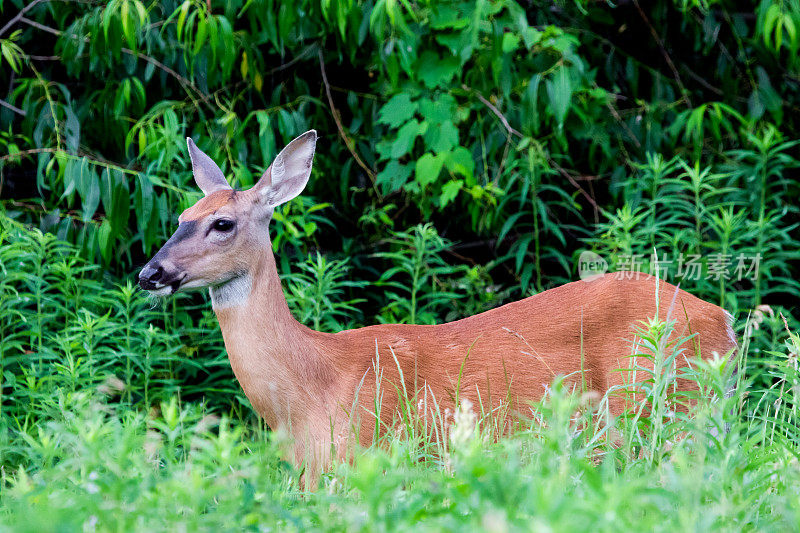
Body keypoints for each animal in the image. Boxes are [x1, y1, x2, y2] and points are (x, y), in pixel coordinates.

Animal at [138, 132, 736, 478]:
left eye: (222, 223)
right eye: (180, 217)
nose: (150, 273)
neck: (313, 388)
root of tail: (723, 322)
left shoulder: (367, 461)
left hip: (663, 409)